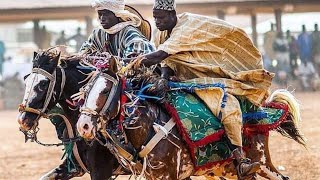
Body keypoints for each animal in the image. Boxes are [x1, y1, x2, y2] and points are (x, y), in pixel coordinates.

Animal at [76, 58, 306, 179]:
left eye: (105, 90)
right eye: (86, 90)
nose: (83, 125)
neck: (150, 126)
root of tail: (263, 108)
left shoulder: (169, 175)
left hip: (262, 162)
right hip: (226, 170)